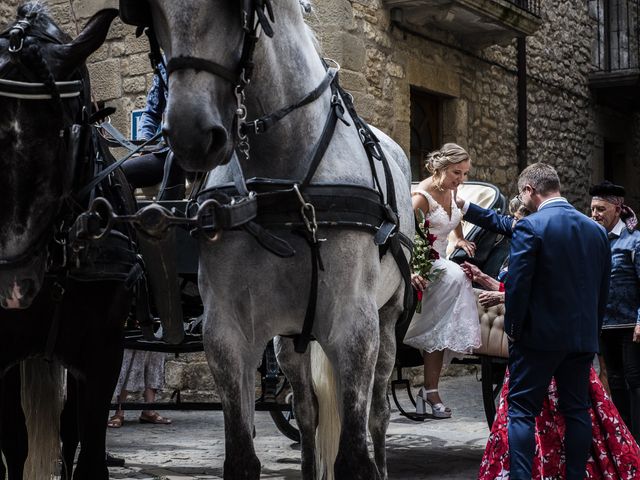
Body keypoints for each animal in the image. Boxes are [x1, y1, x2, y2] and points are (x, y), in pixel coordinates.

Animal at [0, 4, 136, 480]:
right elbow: (14, 445)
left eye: (63, 133)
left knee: (71, 432)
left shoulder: (104, 354)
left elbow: (90, 453)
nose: (13, 287)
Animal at [132, 1, 416, 478]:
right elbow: (242, 455)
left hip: (388, 320)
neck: (281, 186)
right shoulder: (226, 331)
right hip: (290, 340)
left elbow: (354, 456)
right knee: (306, 412)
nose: (190, 134)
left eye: (237, 10)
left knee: (377, 413)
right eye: (151, 13)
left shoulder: (354, 326)